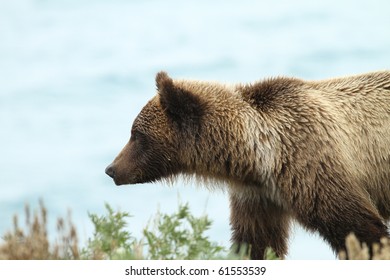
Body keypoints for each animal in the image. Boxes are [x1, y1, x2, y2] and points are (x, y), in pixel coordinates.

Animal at [104, 70, 390, 258]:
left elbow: (360, 230)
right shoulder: (257, 196)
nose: (111, 169)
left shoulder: (313, 165)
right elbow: (255, 242)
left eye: (136, 135)